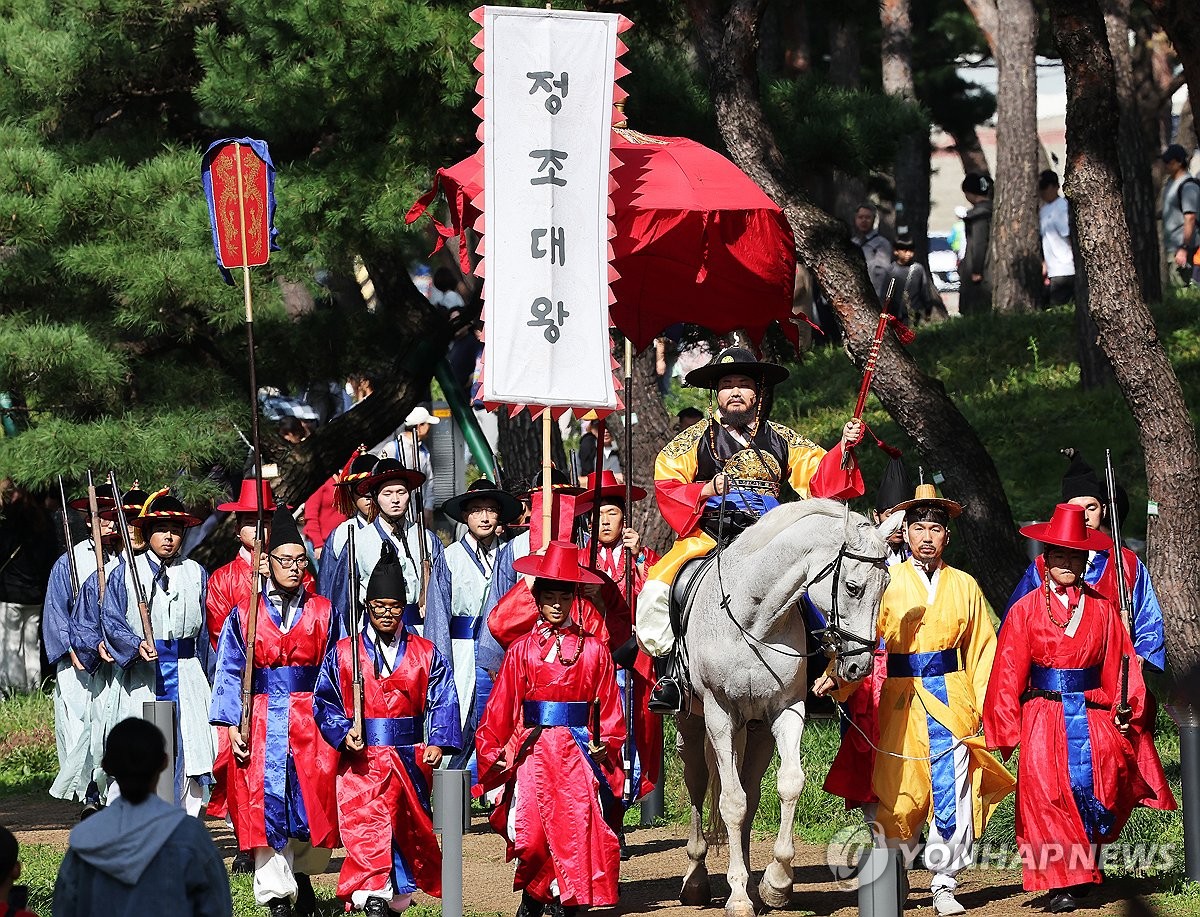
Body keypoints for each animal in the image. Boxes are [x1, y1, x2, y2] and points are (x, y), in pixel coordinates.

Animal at [676, 501, 892, 917]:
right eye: (853, 587)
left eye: (885, 586)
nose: (859, 666)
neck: (752, 619)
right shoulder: (719, 714)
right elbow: (730, 802)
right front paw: (738, 897)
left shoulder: (786, 710)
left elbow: (788, 783)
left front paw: (775, 883)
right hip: (691, 721)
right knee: (698, 781)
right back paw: (695, 878)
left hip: (755, 729)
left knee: (750, 789)